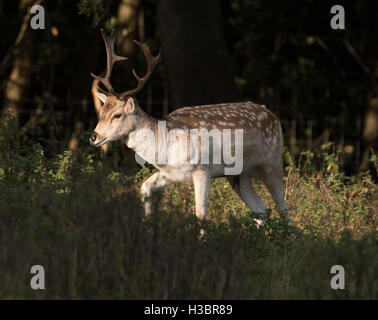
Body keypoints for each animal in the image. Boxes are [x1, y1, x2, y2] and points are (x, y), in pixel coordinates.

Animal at [88, 29, 290, 228]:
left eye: (117, 115)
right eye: (102, 112)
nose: (94, 137)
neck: (166, 144)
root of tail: (274, 117)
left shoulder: (202, 169)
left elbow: (201, 214)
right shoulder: (171, 173)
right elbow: (145, 188)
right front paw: (148, 227)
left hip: (272, 162)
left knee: (283, 210)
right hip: (240, 174)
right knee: (260, 209)